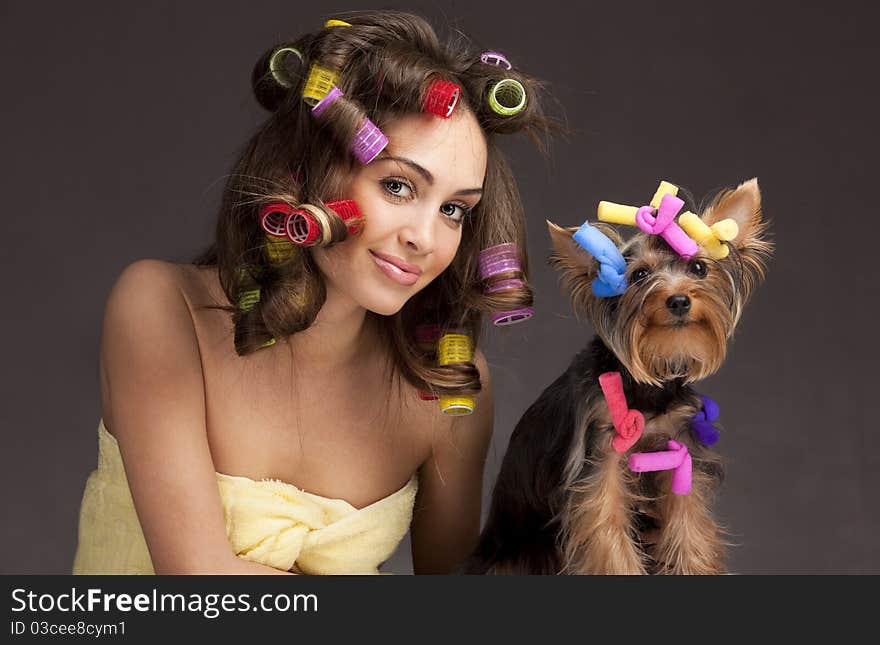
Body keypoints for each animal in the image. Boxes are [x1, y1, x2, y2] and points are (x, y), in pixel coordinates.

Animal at [464, 179, 772, 576]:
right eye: (639, 275)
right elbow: (607, 528)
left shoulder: (679, 447)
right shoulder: (601, 458)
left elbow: (688, 524)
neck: (644, 386)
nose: (679, 300)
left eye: (699, 268)